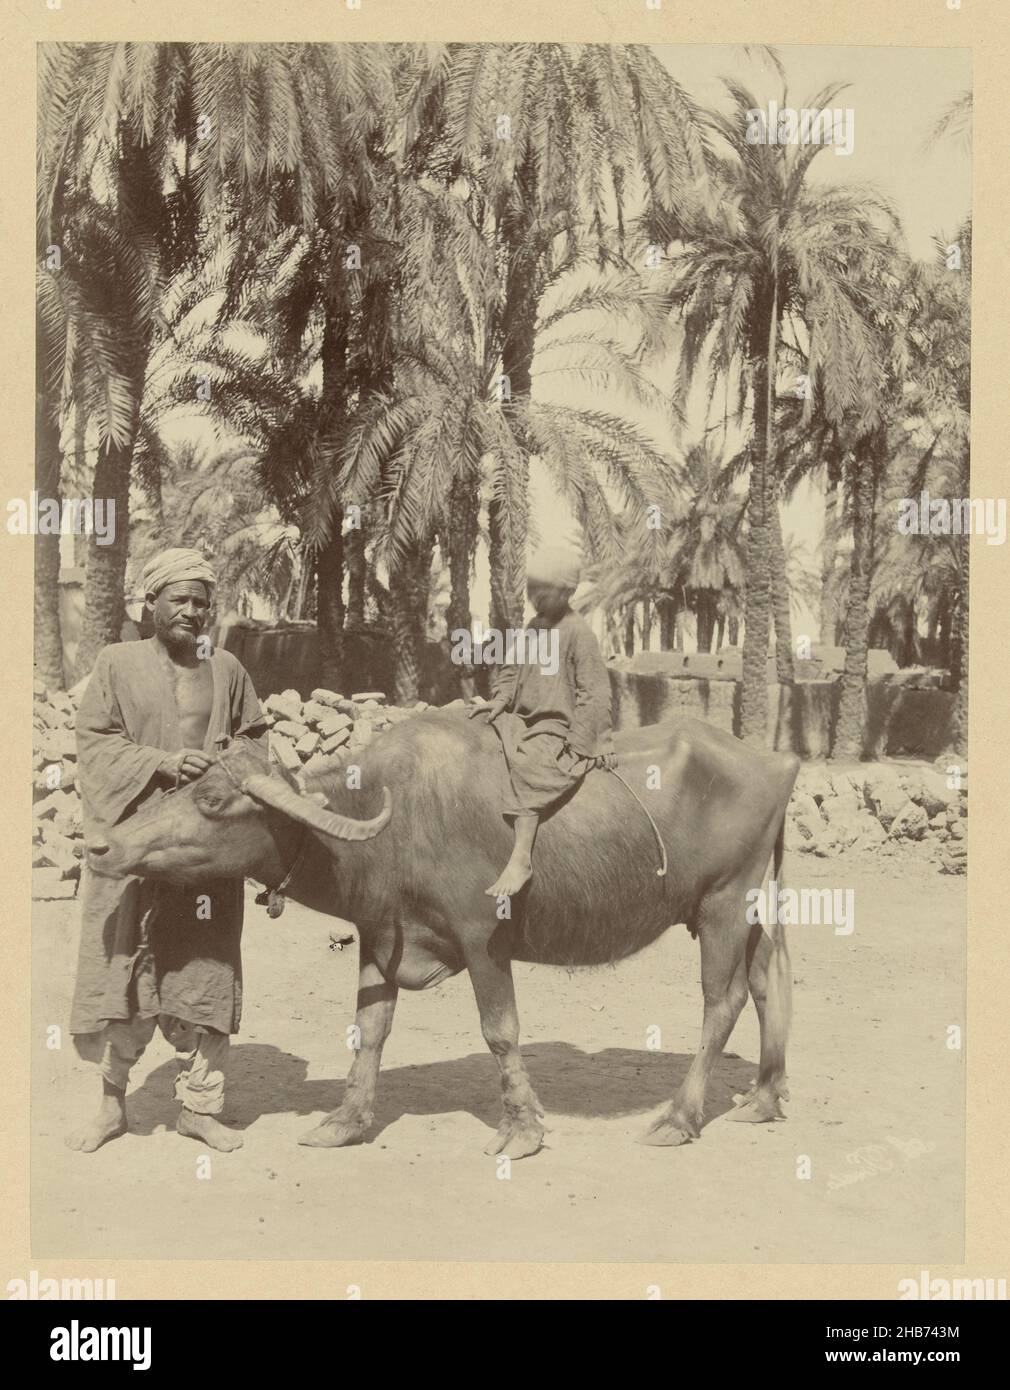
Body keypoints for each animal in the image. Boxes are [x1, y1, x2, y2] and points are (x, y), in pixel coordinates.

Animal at [86, 711, 800, 1156]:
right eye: (176, 786)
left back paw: (678, 1119)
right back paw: (763, 1099)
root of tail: (778, 759)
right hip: (749, 910)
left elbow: (500, 1031)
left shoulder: (484, 939)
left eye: (211, 801)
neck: (392, 821)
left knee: (723, 1001)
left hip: (723, 904)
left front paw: (521, 1130)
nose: (100, 845)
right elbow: (369, 1029)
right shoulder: (379, 935)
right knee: (770, 984)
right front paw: (344, 1121)